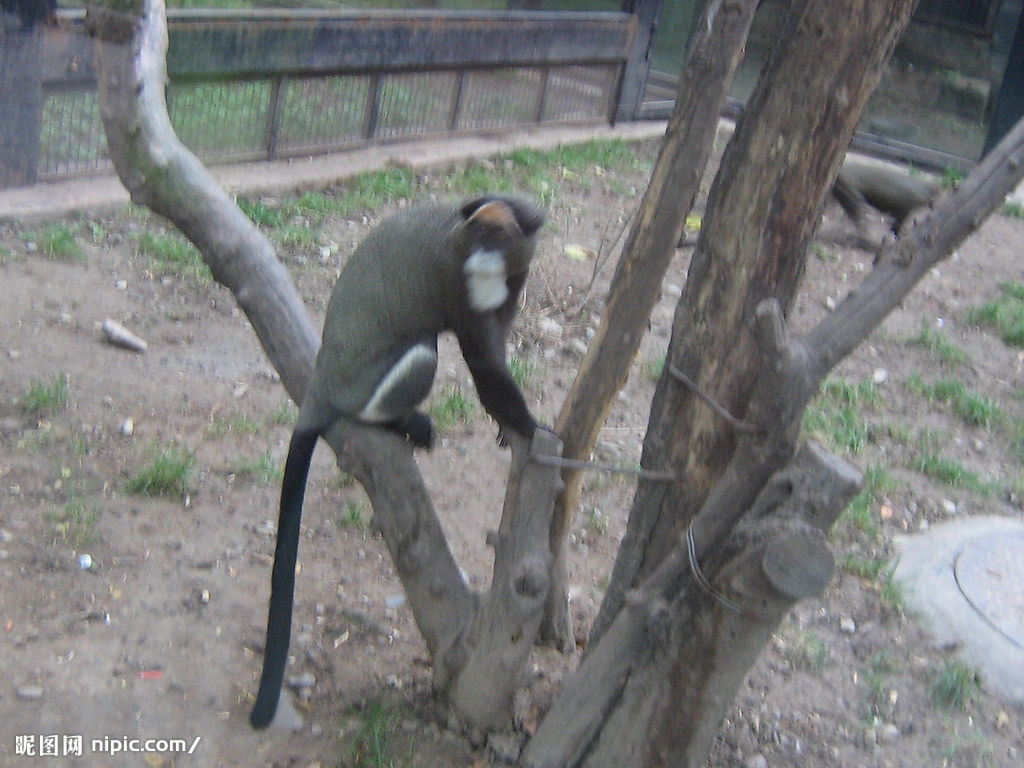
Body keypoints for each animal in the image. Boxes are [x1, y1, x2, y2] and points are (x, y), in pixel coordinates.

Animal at [249, 195, 544, 729]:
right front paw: (534, 427)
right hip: (367, 381)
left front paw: (514, 427)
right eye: (478, 234)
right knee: (421, 353)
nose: (481, 256)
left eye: (498, 235)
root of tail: (323, 380)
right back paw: (396, 423)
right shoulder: (459, 284)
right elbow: (482, 361)